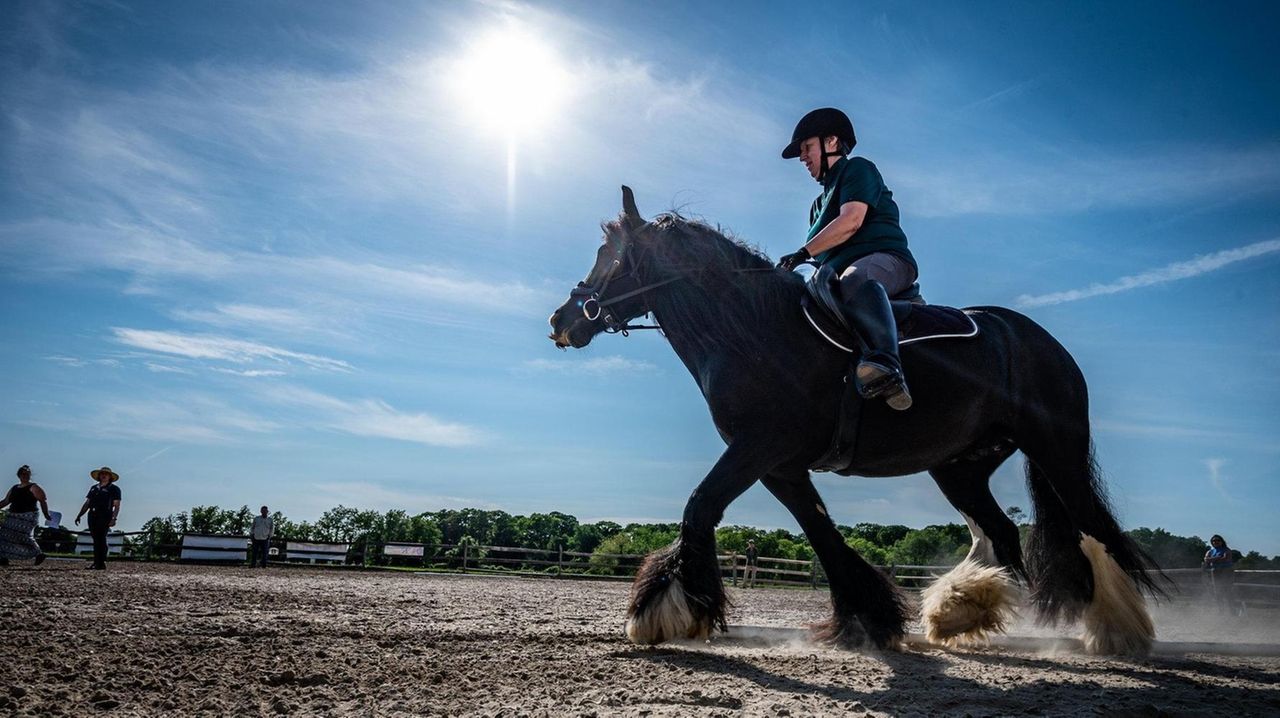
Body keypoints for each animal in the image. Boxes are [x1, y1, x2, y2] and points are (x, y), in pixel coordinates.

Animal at [548, 187, 1164, 655]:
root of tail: (1039, 341)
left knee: (1092, 528)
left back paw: (1116, 629)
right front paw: (869, 618)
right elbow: (822, 534)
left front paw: (667, 610)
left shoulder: (758, 447)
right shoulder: (780, 465)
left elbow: (701, 506)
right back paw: (961, 610)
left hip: (1057, 448)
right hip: (961, 467)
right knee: (1001, 532)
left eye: (611, 254)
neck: (754, 331)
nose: (562, 319)